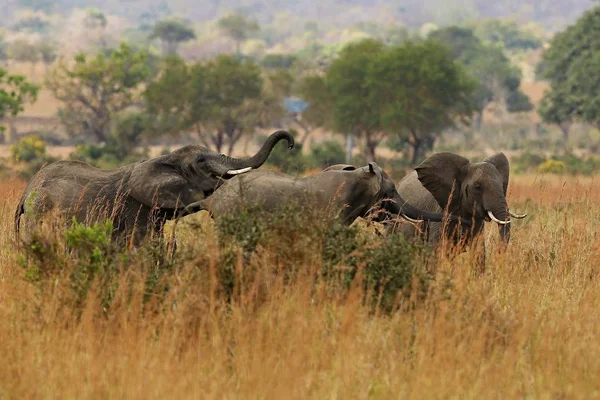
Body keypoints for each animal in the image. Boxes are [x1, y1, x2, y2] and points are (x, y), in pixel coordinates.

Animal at [14, 130, 296, 247]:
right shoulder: (135, 208)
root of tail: (26, 192)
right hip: (41, 213)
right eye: (201, 162)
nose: (291, 144)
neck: (164, 159)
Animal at [390, 152, 524, 264]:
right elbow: (435, 248)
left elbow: (478, 251)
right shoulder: (441, 211)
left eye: (502, 185)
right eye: (477, 187)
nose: (498, 252)